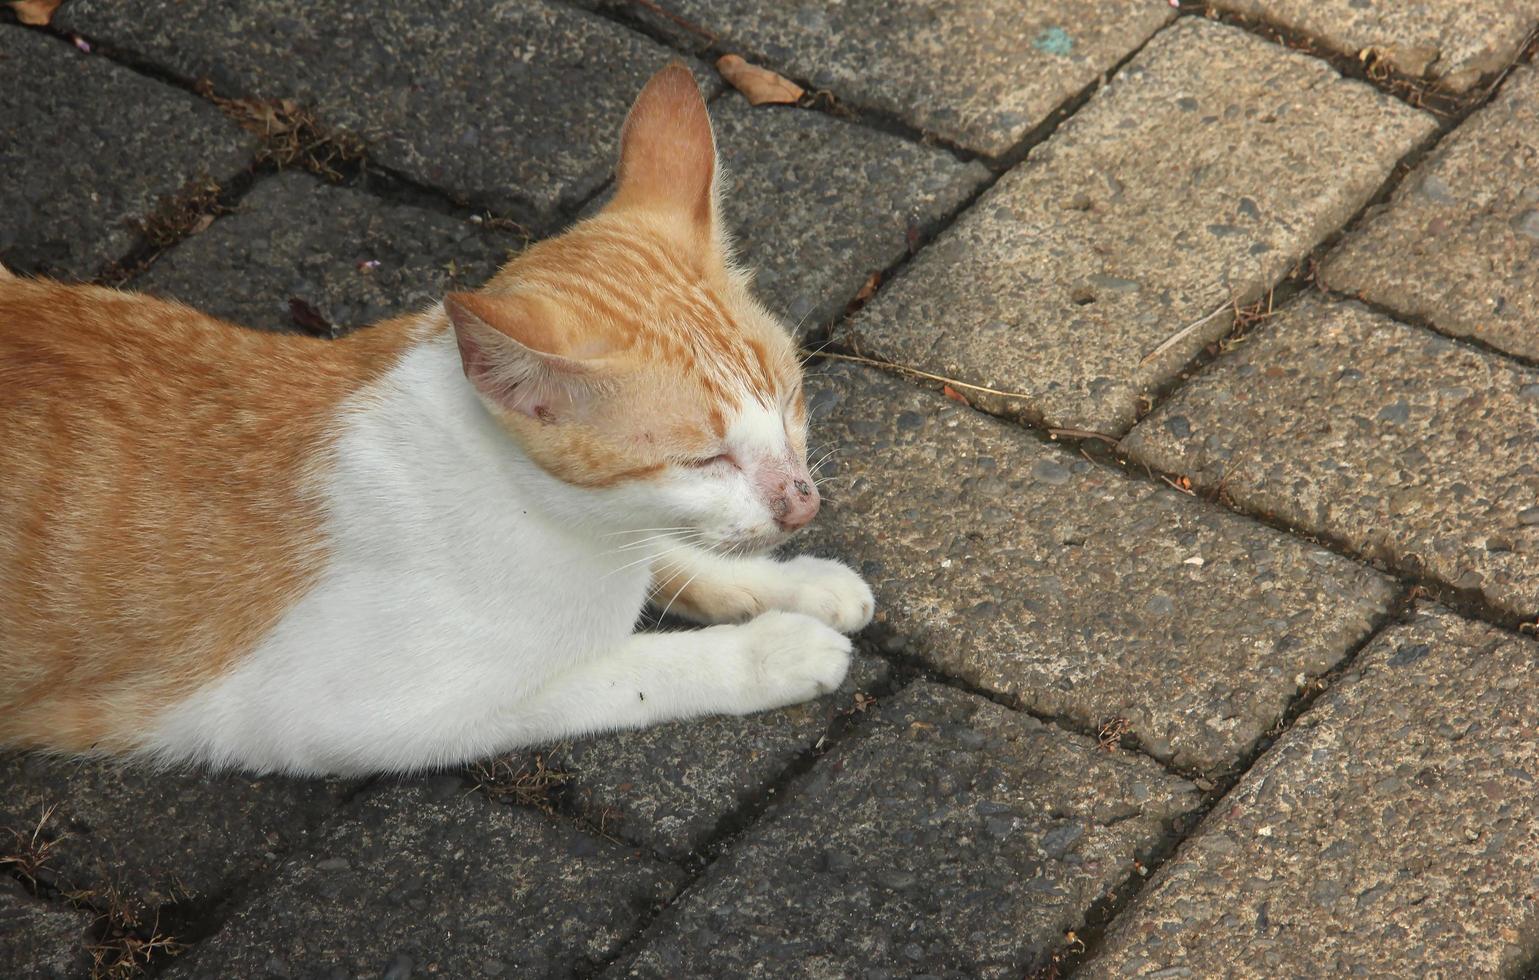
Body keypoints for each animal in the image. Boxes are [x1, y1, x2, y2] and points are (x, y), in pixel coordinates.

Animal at [0, 65, 874, 775]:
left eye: (790, 400)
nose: (801, 504)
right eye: (704, 459)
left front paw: (791, 584)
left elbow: (673, 549)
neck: (553, 520)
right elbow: (615, 672)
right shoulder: (339, 717)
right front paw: (770, 649)